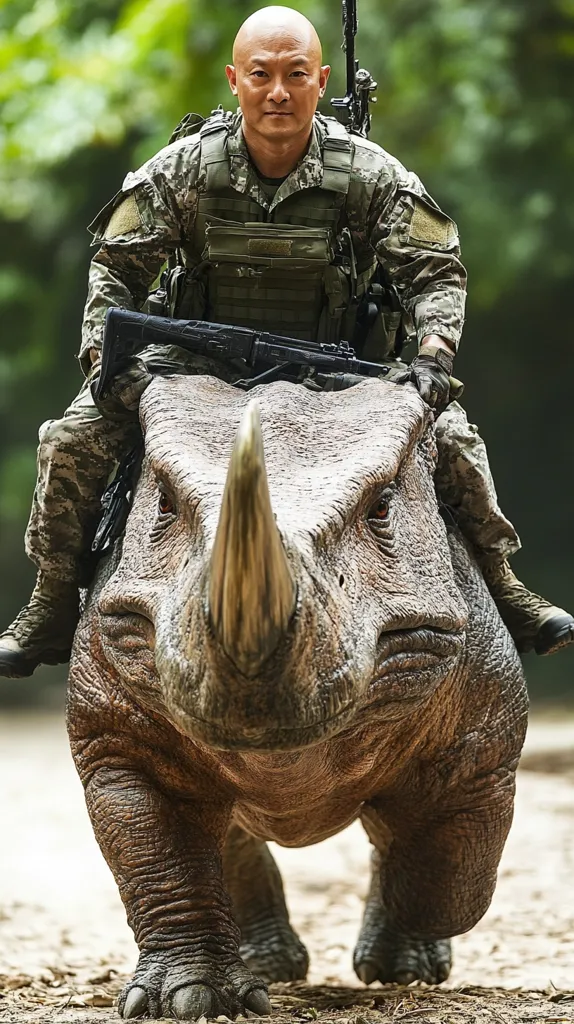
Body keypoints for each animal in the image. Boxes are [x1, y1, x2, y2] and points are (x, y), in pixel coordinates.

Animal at [67, 374, 528, 1021]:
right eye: (162, 506)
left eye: (382, 509)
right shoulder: (117, 713)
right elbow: (158, 852)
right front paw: (191, 997)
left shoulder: (479, 706)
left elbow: (447, 866)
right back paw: (270, 967)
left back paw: (400, 969)